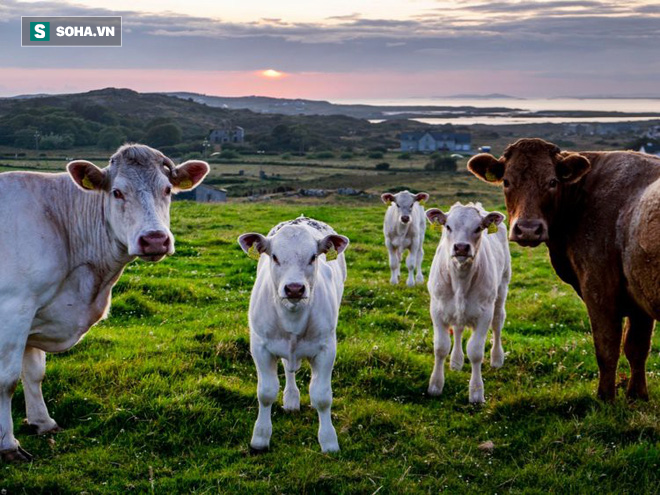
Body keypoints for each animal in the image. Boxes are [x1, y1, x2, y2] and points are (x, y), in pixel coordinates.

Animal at [0, 145, 209, 464]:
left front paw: (42, 422)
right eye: (117, 192)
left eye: (167, 190)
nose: (155, 240)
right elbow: (7, 380)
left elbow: (34, 373)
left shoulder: (34, 311)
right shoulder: (15, 307)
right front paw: (8, 445)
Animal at [238, 217, 350, 454]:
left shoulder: (327, 348)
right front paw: (260, 437)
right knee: (288, 370)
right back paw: (290, 398)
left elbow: (322, 396)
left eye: (313, 256)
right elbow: (266, 393)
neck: (293, 318)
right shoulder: (260, 347)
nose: (295, 288)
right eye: (274, 256)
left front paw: (328, 440)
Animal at [426, 202, 512, 404]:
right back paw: (456, 361)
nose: (461, 247)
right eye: (448, 226)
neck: (460, 280)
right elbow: (440, 347)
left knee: (498, 323)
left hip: (502, 288)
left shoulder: (484, 313)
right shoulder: (437, 309)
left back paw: (497, 358)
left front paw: (476, 392)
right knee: (457, 329)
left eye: (478, 228)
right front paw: (435, 385)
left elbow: (475, 351)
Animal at [466, 138, 660, 402]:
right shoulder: (638, 297)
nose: (528, 229)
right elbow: (636, 348)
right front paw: (637, 396)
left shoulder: (599, 289)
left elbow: (607, 348)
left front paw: (605, 398)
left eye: (552, 181)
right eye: (506, 181)